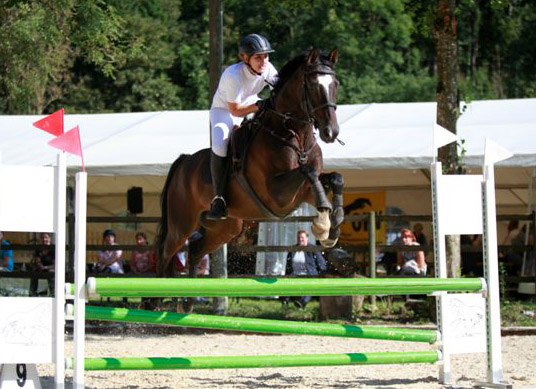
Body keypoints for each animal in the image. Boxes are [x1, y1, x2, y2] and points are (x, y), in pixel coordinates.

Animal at [157, 47, 346, 310]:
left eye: (335, 84)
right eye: (313, 85)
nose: (331, 133)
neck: (293, 136)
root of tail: (184, 161)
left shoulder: (302, 192)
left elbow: (334, 179)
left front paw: (331, 226)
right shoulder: (278, 195)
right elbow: (308, 172)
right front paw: (323, 223)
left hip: (226, 227)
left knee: (194, 250)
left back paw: (187, 302)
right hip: (181, 223)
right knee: (166, 253)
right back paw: (153, 301)